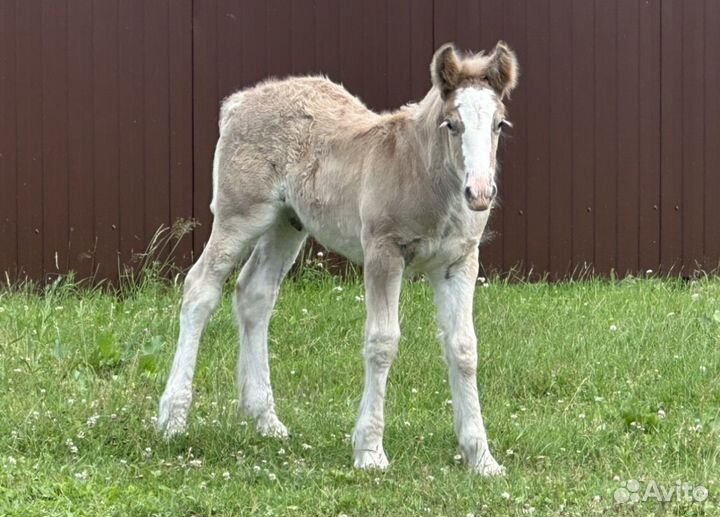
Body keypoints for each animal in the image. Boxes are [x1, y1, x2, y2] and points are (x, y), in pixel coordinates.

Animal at [158, 42, 516, 474]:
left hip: (287, 223)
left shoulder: (458, 263)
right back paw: (173, 419)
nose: (479, 193)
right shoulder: (383, 253)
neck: (419, 172)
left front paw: (482, 458)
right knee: (201, 288)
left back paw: (266, 419)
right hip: (239, 216)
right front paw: (371, 451)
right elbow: (382, 342)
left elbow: (464, 349)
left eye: (499, 124)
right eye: (452, 124)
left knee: (254, 294)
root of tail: (238, 102)